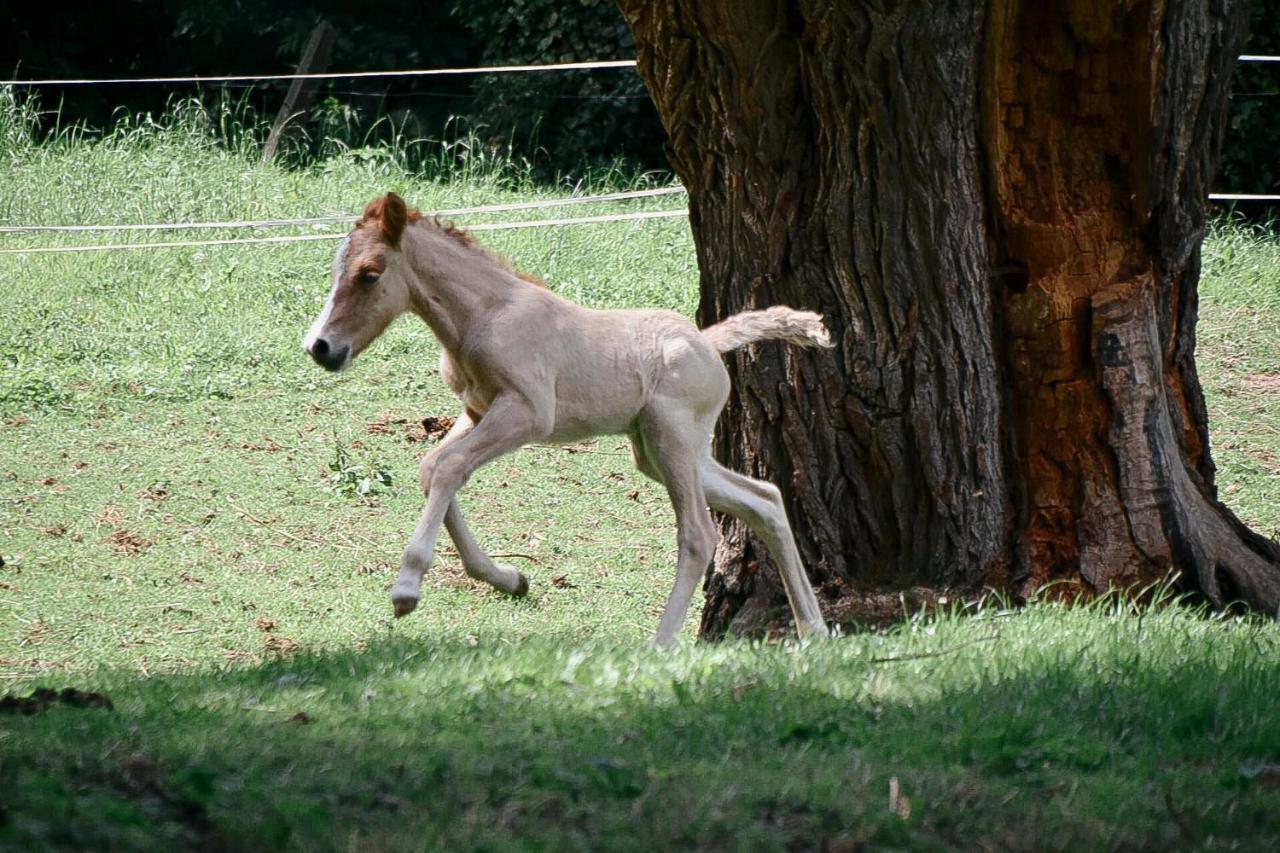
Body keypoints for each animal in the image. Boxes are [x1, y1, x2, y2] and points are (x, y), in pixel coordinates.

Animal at [305, 192, 834, 640]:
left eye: (370, 273)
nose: (321, 348)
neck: (482, 315)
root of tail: (708, 341)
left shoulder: (527, 412)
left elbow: (450, 468)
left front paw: (407, 589)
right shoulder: (477, 410)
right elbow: (432, 469)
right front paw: (509, 578)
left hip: (671, 439)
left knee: (699, 536)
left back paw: (661, 646)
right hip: (661, 451)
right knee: (764, 499)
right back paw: (813, 629)